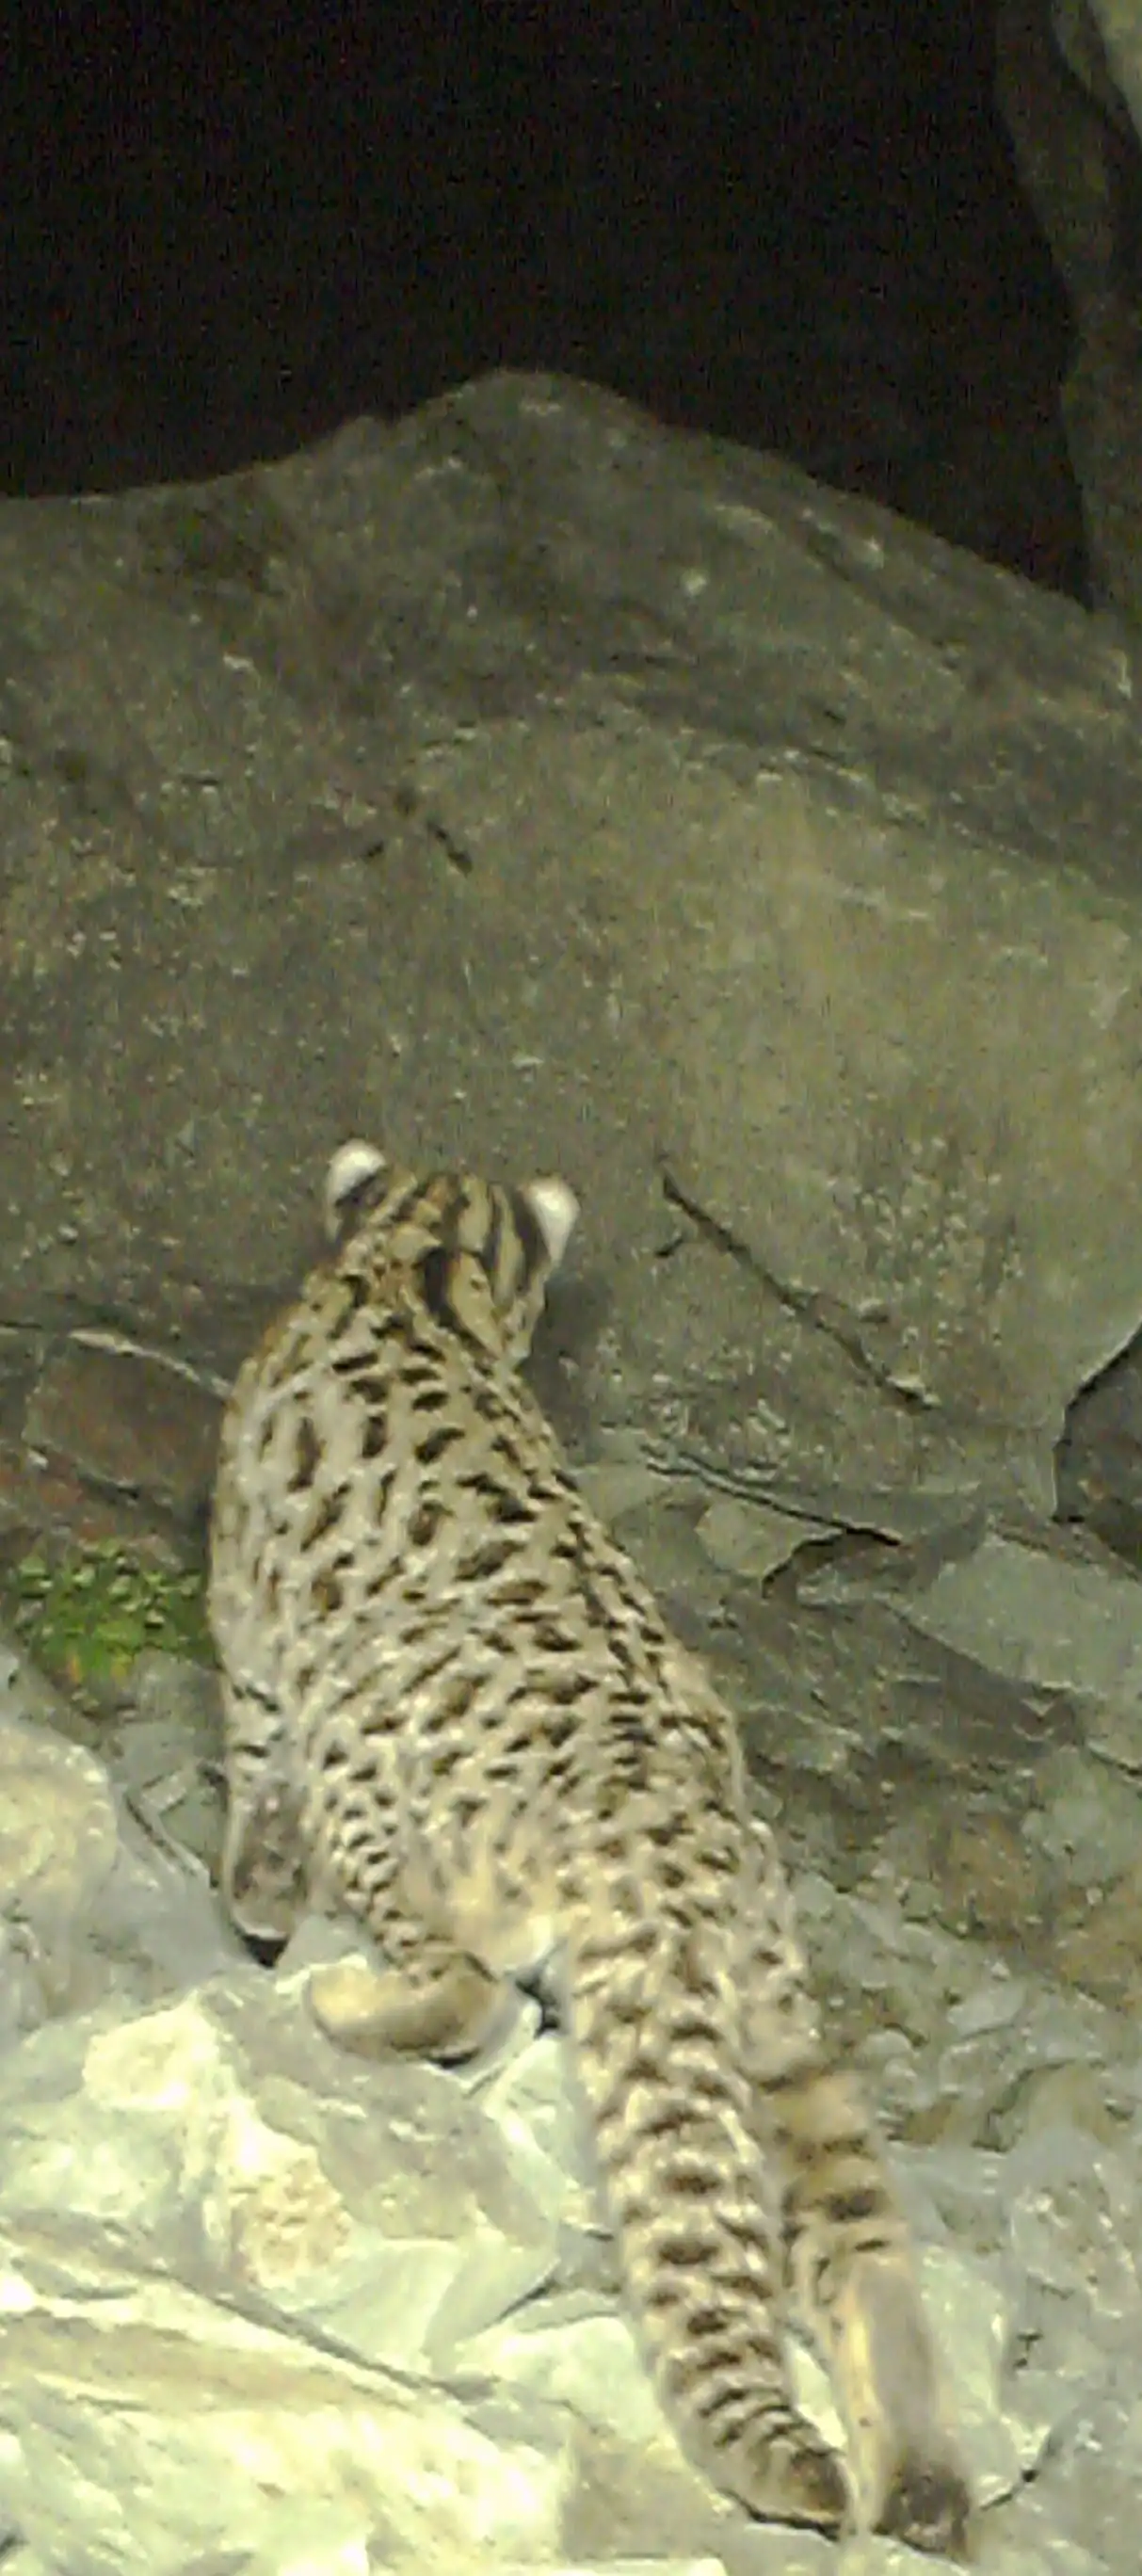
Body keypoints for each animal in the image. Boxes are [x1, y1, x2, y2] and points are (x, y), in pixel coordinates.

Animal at [208, 1136, 973, 2557]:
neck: (421, 1268)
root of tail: (669, 1832)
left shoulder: (247, 1635)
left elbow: (249, 1773)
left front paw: (258, 1905)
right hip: (775, 2035)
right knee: (860, 2244)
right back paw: (920, 2480)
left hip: (371, 1773)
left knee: (462, 1986)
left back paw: (344, 2002)